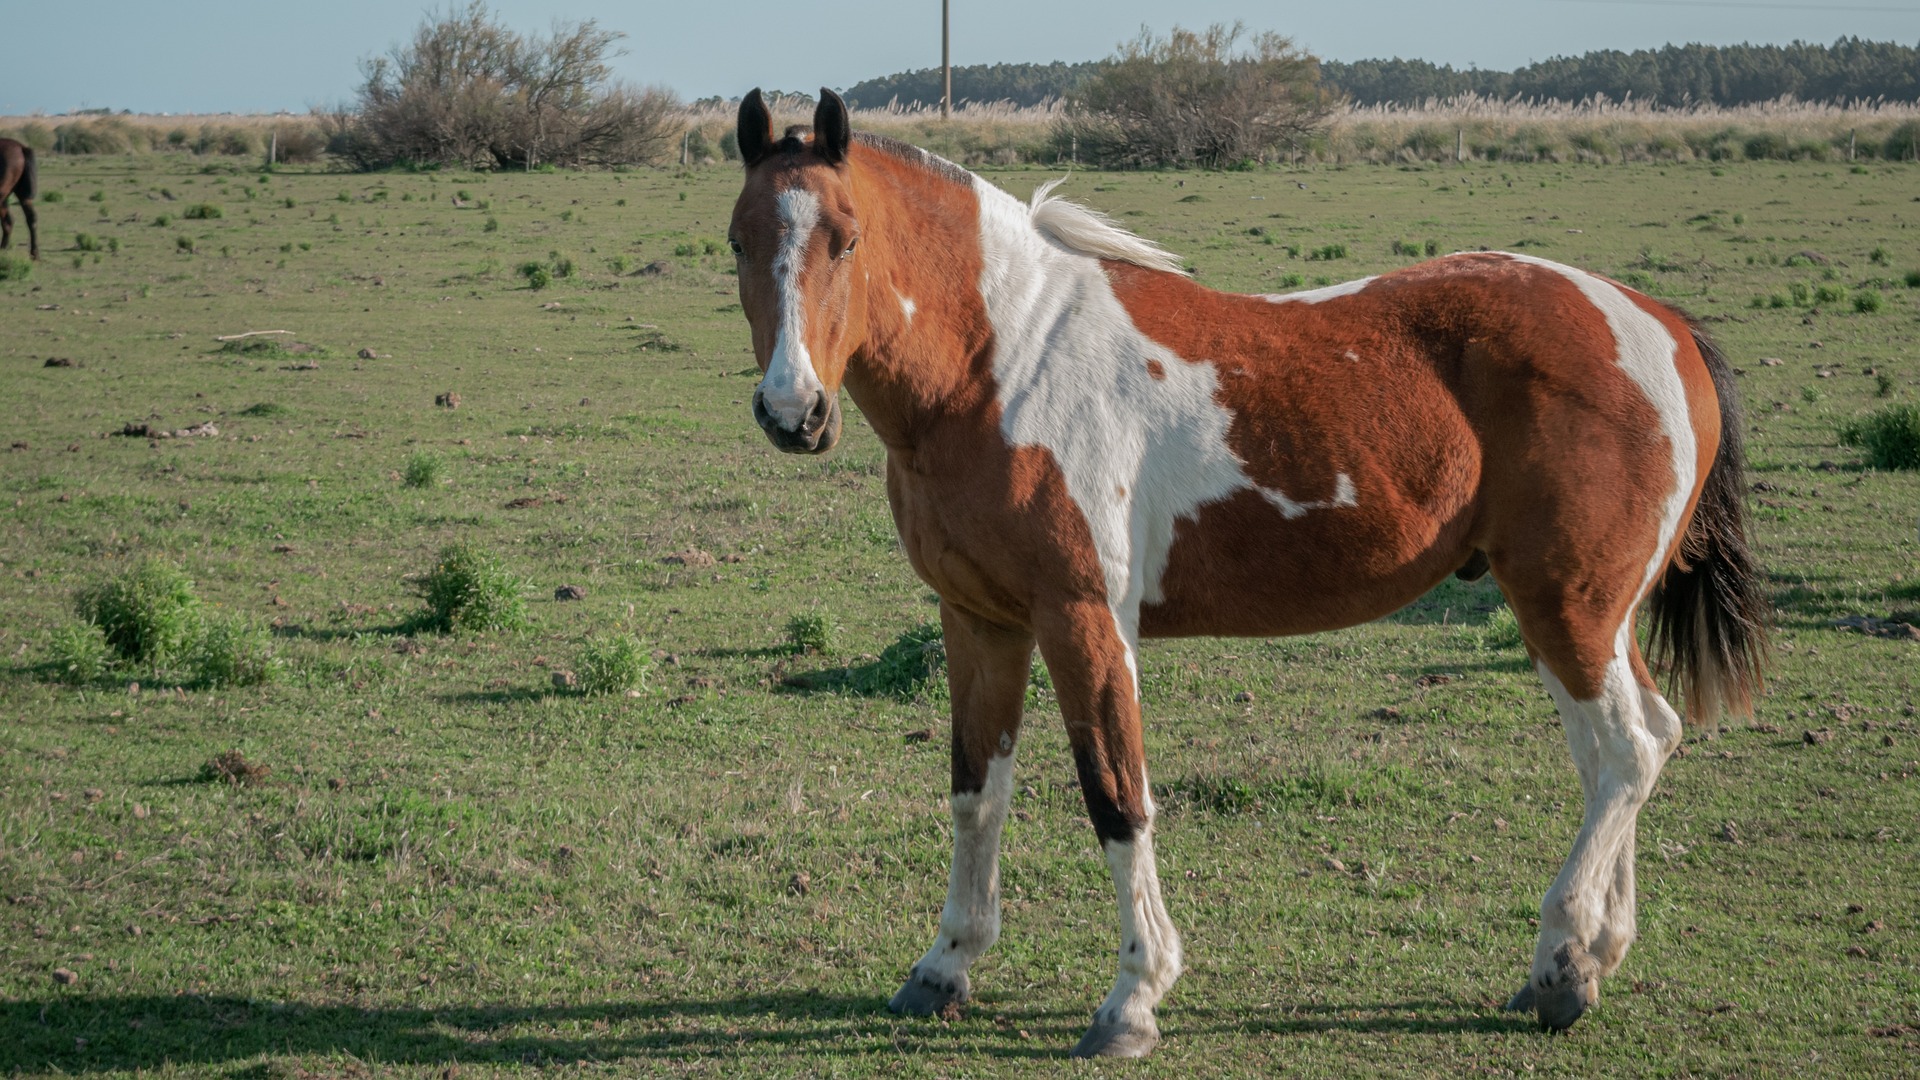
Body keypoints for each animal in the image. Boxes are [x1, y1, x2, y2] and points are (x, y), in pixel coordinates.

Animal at [721, 90, 1766, 1053]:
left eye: (847, 241)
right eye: (738, 241)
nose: (793, 411)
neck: (1003, 364)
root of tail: (1659, 321)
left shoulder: (1084, 619)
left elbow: (1116, 796)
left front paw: (1133, 1000)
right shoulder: (979, 621)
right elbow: (977, 792)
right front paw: (944, 968)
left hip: (1565, 605)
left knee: (1625, 752)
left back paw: (1558, 964)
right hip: (1591, 616)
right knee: (1629, 750)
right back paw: (1593, 957)